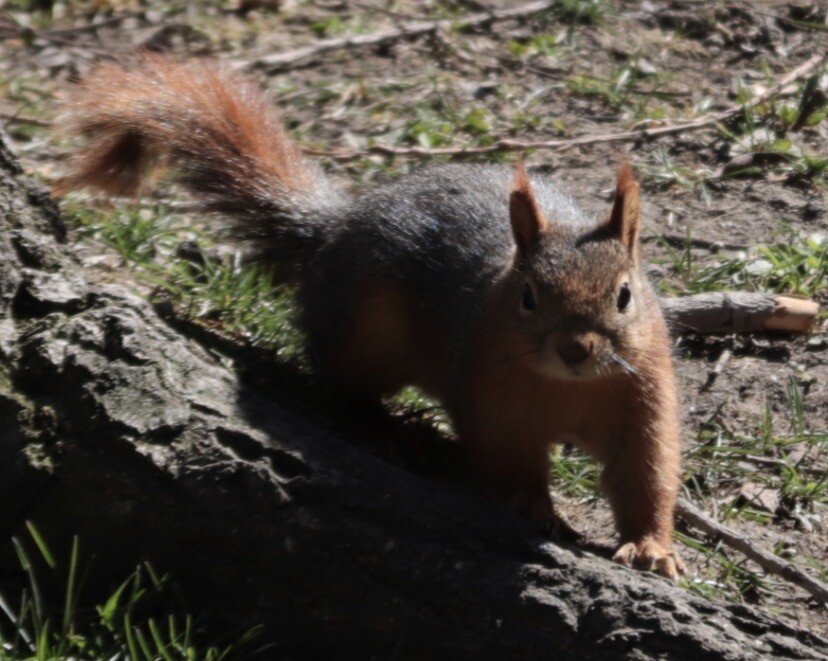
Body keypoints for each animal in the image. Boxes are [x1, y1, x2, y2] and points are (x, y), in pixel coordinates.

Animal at [56, 55, 685, 580]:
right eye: (527, 295)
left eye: (625, 295)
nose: (574, 347)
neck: (568, 389)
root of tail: (335, 229)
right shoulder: (493, 403)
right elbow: (508, 464)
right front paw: (535, 506)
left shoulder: (644, 403)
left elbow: (646, 476)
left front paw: (652, 549)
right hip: (366, 333)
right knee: (336, 380)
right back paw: (384, 429)